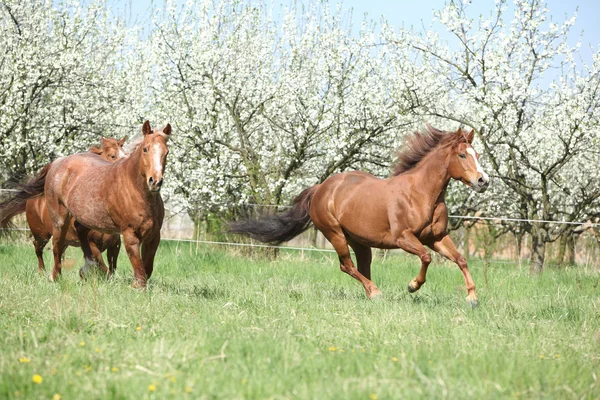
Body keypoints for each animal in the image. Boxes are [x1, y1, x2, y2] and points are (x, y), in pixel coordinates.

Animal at [0, 138, 126, 276]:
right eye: (113, 156)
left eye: (125, 154)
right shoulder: (93, 245)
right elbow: (103, 267)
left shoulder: (115, 245)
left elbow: (112, 268)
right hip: (42, 234)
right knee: (38, 247)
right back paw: (42, 272)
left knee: (58, 252)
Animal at [232, 125, 490, 306]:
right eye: (463, 155)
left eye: (477, 154)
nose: (483, 181)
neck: (421, 194)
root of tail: (321, 188)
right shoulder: (403, 238)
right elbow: (426, 258)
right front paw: (412, 285)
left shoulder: (436, 238)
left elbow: (461, 260)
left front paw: (472, 299)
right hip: (335, 234)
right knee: (346, 266)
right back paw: (376, 293)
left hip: (360, 241)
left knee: (361, 267)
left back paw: (370, 293)